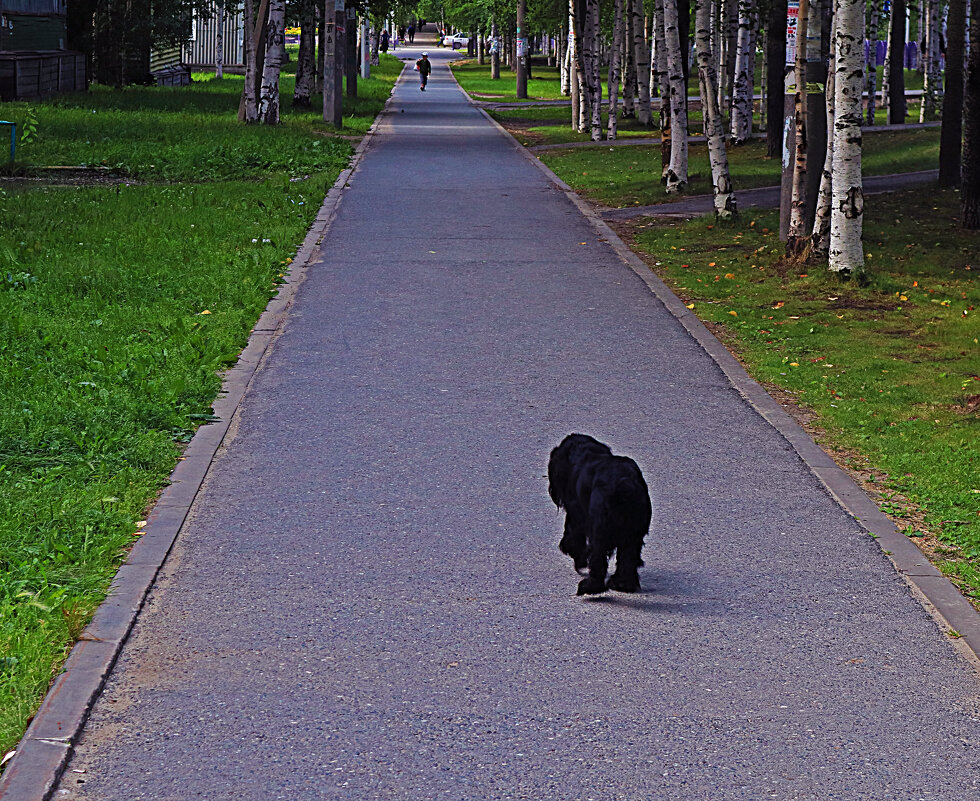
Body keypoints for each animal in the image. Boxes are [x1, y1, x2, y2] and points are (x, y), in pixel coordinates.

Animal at [552, 432, 652, 592]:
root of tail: (624, 485)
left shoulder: (576, 514)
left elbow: (574, 536)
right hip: (633, 535)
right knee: (627, 558)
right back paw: (623, 584)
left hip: (599, 530)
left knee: (598, 558)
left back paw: (589, 586)